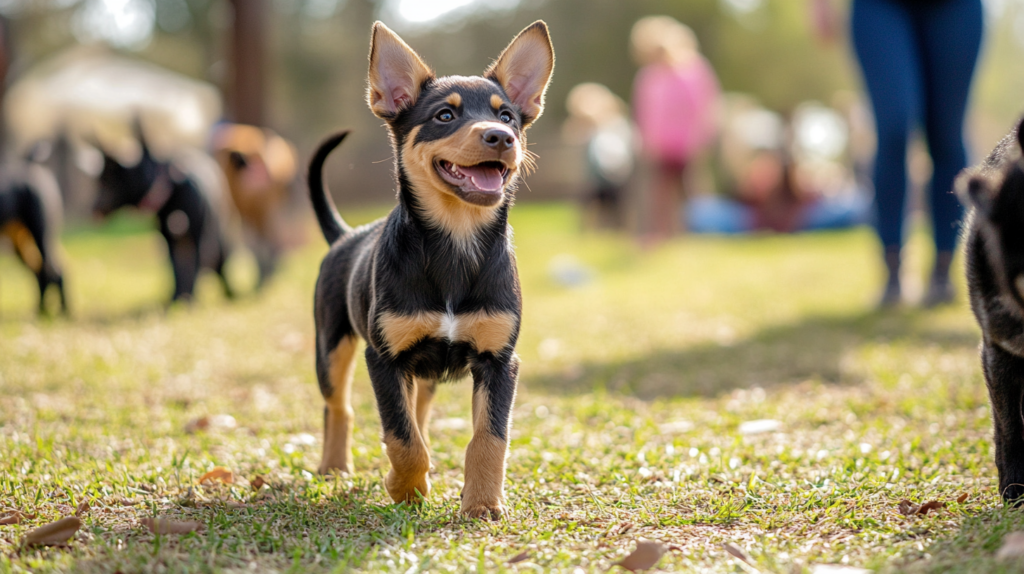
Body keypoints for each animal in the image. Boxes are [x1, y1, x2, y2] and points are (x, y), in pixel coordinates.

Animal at [0, 159, 66, 313]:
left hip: (41, 237)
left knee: (55, 271)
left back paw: (62, 311)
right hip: (21, 243)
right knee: (40, 272)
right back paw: (41, 309)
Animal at [92, 123, 234, 302]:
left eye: (108, 180)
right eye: (99, 180)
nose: (93, 208)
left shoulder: (198, 238)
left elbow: (194, 266)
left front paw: (189, 297)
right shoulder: (169, 241)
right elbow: (176, 270)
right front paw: (177, 297)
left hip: (218, 239)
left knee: (219, 265)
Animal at [309, 21, 557, 519]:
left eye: (508, 118)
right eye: (444, 116)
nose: (502, 139)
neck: (455, 245)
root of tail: (345, 235)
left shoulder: (499, 361)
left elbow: (489, 437)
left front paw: (482, 504)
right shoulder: (384, 358)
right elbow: (401, 437)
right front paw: (405, 488)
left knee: (418, 411)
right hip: (331, 345)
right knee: (340, 407)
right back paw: (335, 467)